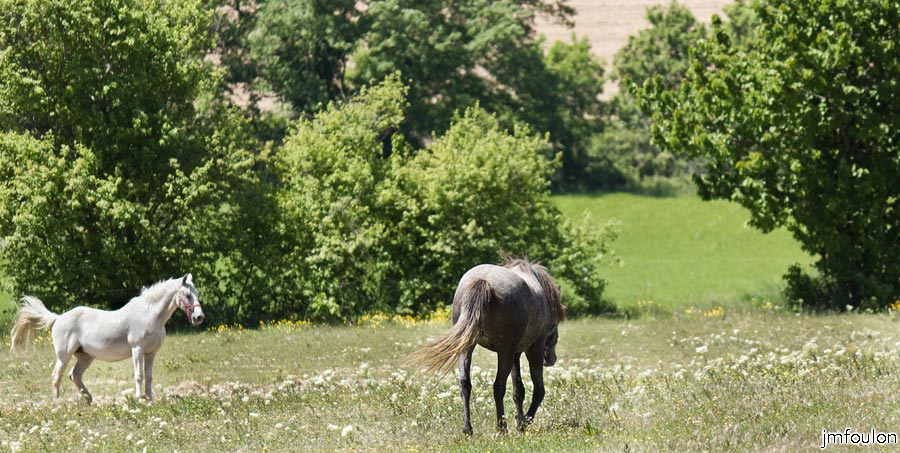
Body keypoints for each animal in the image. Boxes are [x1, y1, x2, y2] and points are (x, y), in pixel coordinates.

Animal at [9, 273, 204, 403]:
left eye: (197, 294)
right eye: (188, 295)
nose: (199, 317)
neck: (149, 315)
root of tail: (58, 318)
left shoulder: (151, 352)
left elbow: (149, 376)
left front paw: (149, 399)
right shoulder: (137, 349)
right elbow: (139, 375)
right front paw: (139, 398)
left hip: (85, 357)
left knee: (75, 375)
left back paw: (89, 400)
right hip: (64, 356)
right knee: (57, 375)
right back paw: (57, 402)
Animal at [411, 258, 564, 435]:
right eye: (555, 325)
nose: (551, 359)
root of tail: (482, 281)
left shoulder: (515, 354)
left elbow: (518, 390)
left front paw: (520, 421)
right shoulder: (532, 350)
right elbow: (538, 390)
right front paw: (524, 422)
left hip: (467, 347)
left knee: (465, 384)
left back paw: (468, 429)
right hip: (505, 351)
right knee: (499, 386)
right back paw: (501, 427)